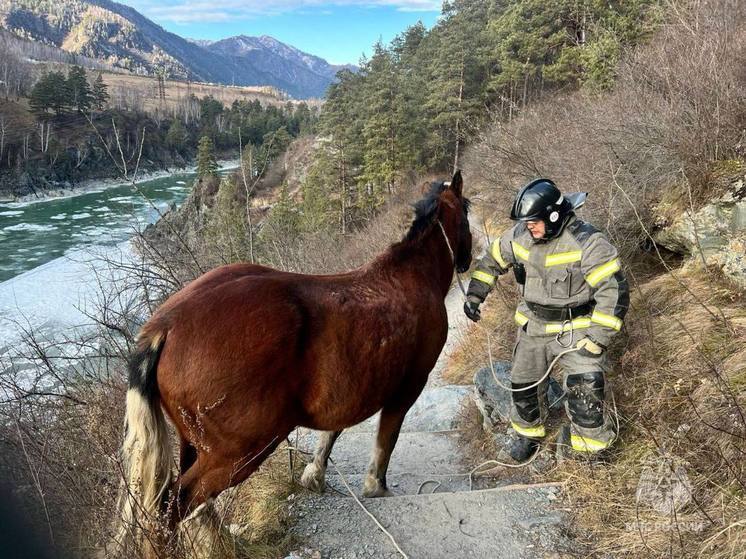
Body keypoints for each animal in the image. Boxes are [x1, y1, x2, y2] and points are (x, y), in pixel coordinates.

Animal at [117, 170, 470, 548]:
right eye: (467, 211)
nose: (467, 259)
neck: (409, 276)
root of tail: (166, 326)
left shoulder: (351, 386)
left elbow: (334, 429)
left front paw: (315, 473)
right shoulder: (408, 386)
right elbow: (385, 439)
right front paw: (376, 486)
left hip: (195, 445)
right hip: (237, 453)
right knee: (175, 503)